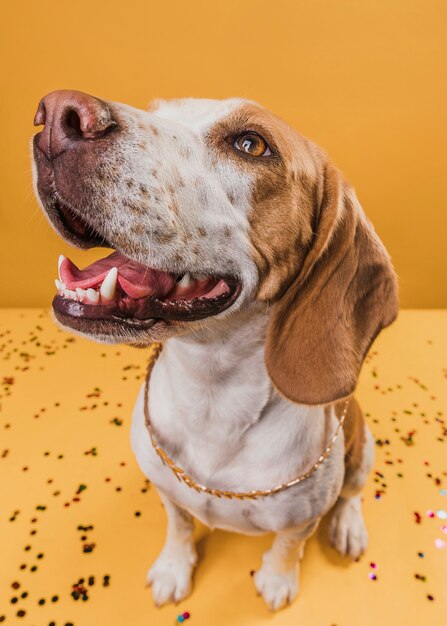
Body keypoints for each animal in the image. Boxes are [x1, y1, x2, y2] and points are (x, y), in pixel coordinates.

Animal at [32, 91, 400, 608]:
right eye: (159, 111)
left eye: (251, 144)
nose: (57, 114)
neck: (211, 395)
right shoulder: (168, 490)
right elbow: (180, 525)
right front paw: (174, 566)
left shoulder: (300, 519)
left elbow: (287, 546)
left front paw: (278, 579)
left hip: (362, 448)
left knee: (350, 494)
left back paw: (348, 526)